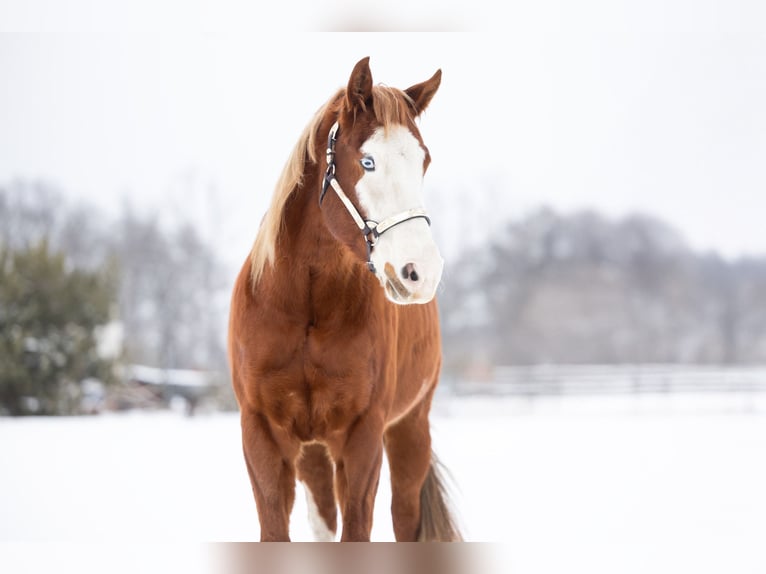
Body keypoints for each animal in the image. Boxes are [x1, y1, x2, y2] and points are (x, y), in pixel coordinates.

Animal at [227, 56, 461, 542]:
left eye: (424, 161)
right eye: (367, 161)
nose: (421, 272)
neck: (306, 307)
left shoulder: (362, 437)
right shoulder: (262, 435)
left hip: (409, 430)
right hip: (315, 454)